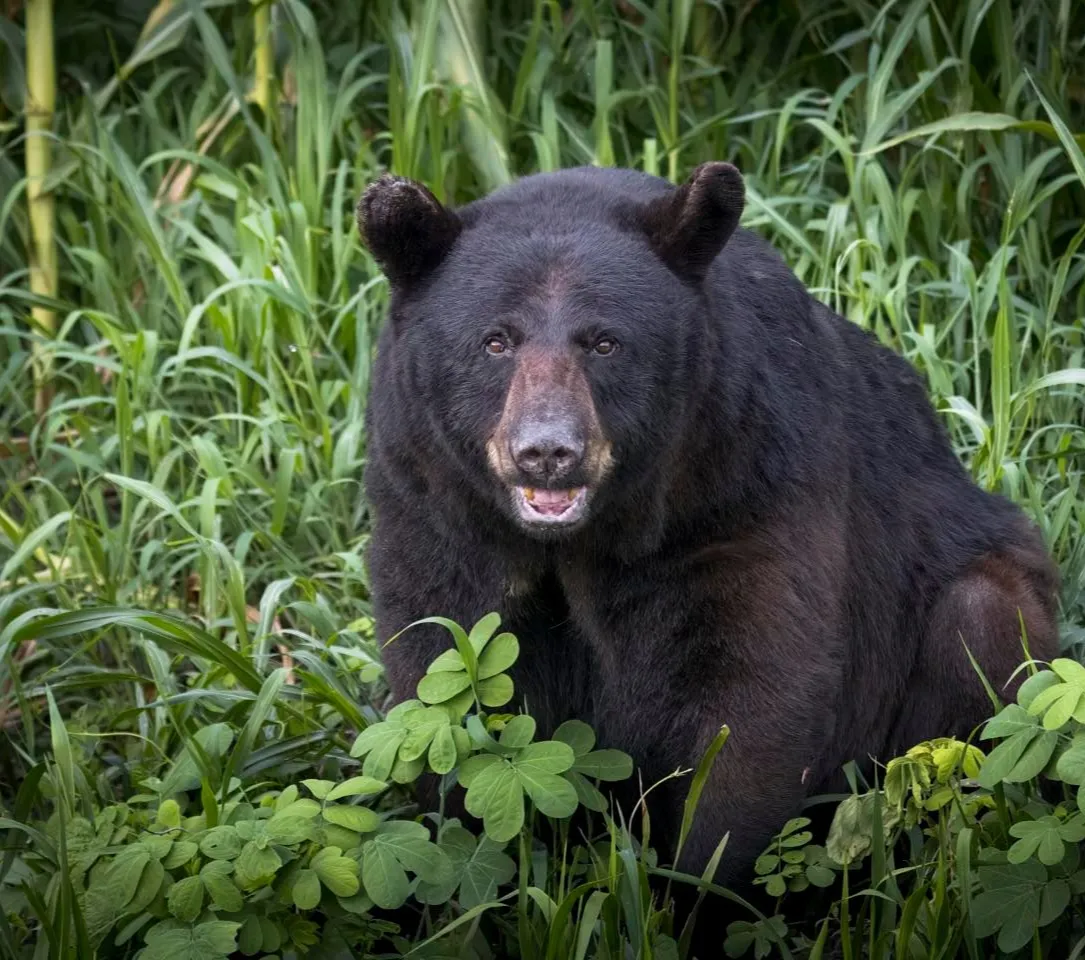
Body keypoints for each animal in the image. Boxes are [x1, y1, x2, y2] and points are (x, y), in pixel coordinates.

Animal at [355, 162, 1059, 903]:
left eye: (604, 341)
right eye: (496, 340)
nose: (547, 451)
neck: (595, 531)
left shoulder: (740, 487)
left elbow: (755, 690)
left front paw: (699, 892)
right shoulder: (434, 501)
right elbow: (439, 668)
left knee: (980, 629)